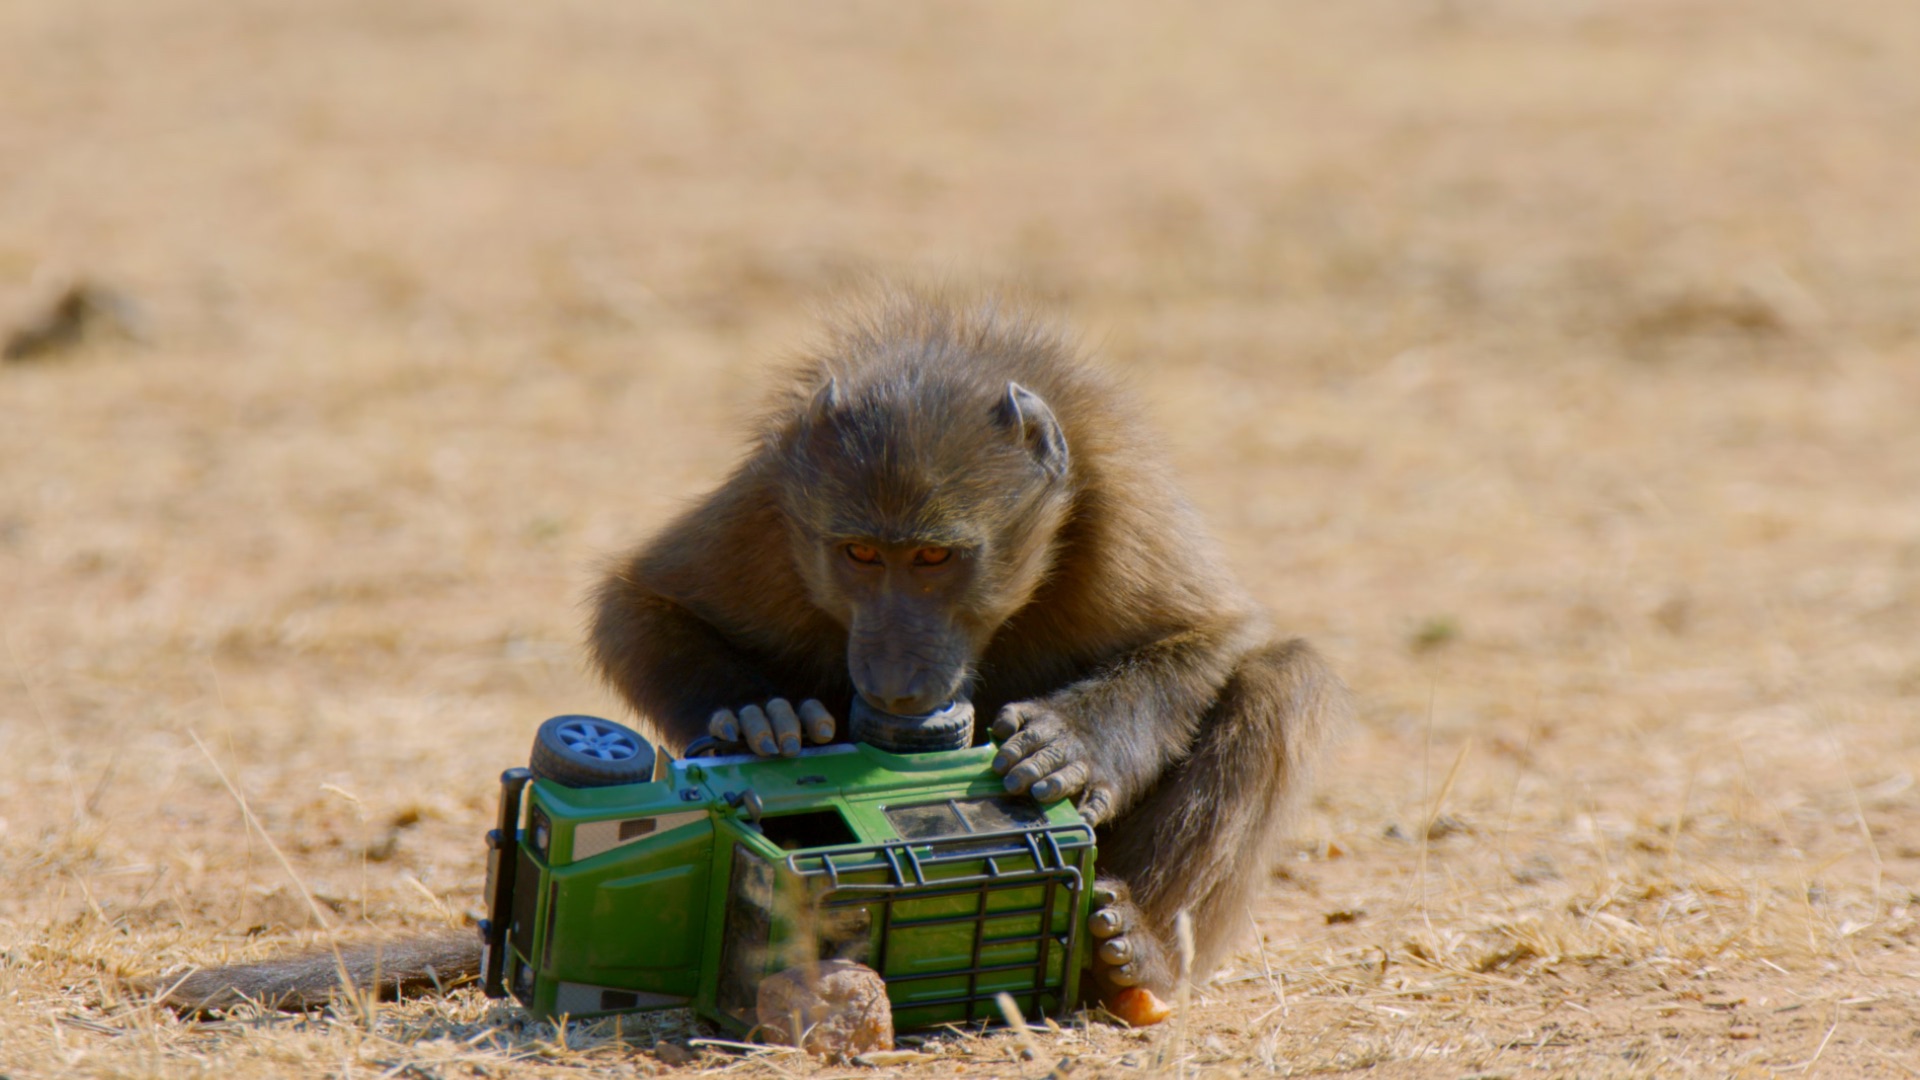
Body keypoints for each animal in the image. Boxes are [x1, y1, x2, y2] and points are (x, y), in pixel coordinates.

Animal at [154, 288, 1348, 1026]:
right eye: (863, 555)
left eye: (935, 558)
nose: (897, 678)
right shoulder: (782, 509)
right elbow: (637, 605)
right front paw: (759, 725)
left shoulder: (1117, 493)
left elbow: (1217, 635)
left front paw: (1071, 749)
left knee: (1282, 680)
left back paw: (1133, 956)